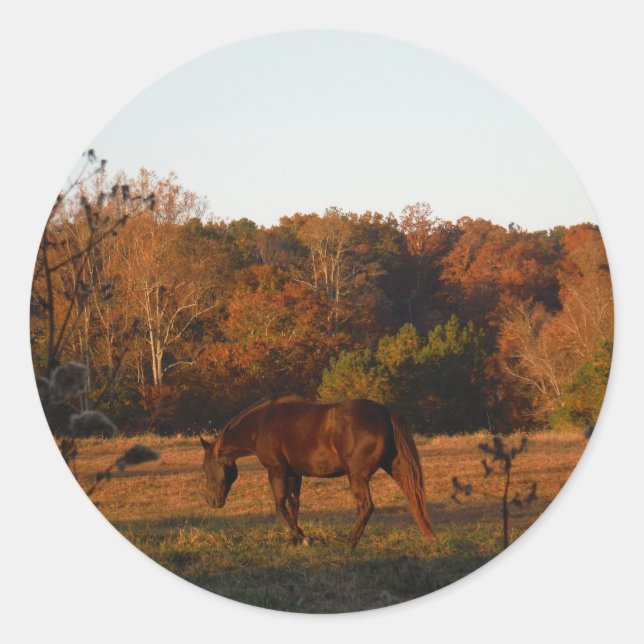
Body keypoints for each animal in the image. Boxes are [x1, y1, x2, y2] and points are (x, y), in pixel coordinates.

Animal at [199, 394, 436, 548]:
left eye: (205, 468)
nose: (211, 501)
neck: (262, 423)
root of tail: (386, 413)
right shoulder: (294, 474)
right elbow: (293, 505)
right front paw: (295, 538)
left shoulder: (277, 471)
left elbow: (280, 506)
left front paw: (303, 538)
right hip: (395, 468)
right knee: (414, 496)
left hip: (357, 477)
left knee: (366, 506)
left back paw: (350, 543)